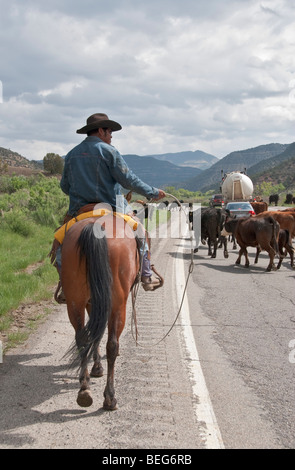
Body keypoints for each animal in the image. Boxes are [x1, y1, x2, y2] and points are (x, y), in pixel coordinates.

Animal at [60, 213, 142, 412]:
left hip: (75, 301)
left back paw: (84, 389)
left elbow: (94, 333)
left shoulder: (93, 302)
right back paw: (110, 397)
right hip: (118, 304)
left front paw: (96, 367)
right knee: (112, 345)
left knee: (82, 338)